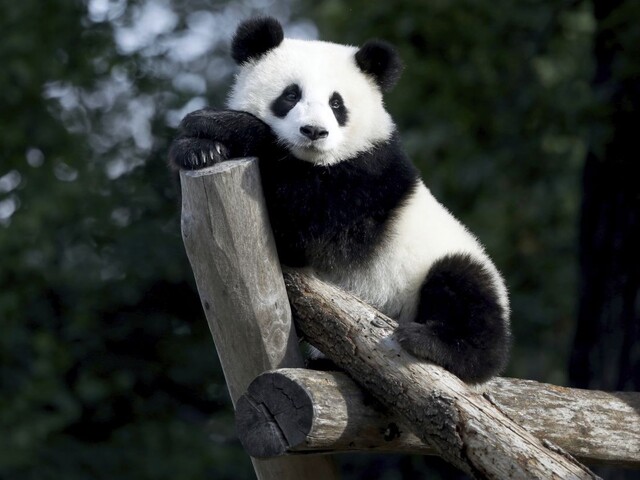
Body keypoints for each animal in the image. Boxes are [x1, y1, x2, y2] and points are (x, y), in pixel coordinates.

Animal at [170, 16, 511, 383]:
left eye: (337, 104)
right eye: (290, 95)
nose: (314, 131)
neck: (318, 160)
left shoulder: (368, 180)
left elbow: (309, 229)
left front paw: (222, 124)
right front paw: (199, 150)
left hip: (444, 267)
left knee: (465, 290)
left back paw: (435, 343)